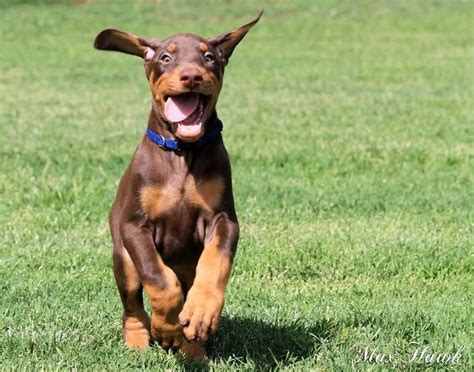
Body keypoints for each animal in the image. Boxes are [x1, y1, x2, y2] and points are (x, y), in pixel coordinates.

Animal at [92, 13, 262, 358]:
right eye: (165, 58)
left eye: (208, 57)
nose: (192, 76)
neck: (182, 152)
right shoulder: (135, 226)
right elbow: (159, 278)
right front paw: (166, 328)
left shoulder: (224, 220)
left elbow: (215, 263)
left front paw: (200, 313)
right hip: (123, 257)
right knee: (133, 304)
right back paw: (139, 342)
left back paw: (193, 349)